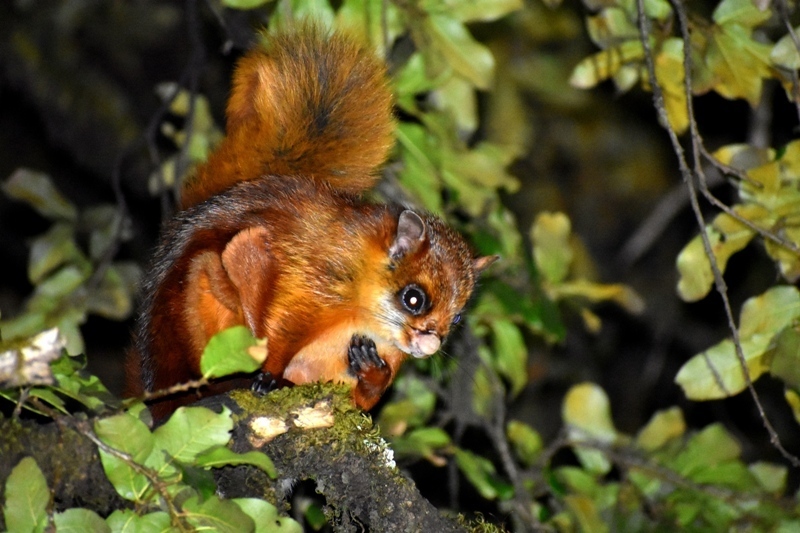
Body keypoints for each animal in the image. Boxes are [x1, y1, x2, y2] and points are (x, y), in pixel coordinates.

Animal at [126, 26, 497, 418]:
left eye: (457, 319)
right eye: (414, 299)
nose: (430, 346)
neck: (362, 309)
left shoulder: (382, 352)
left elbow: (363, 401)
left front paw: (373, 372)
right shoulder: (308, 286)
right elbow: (281, 332)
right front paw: (268, 375)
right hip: (205, 291)